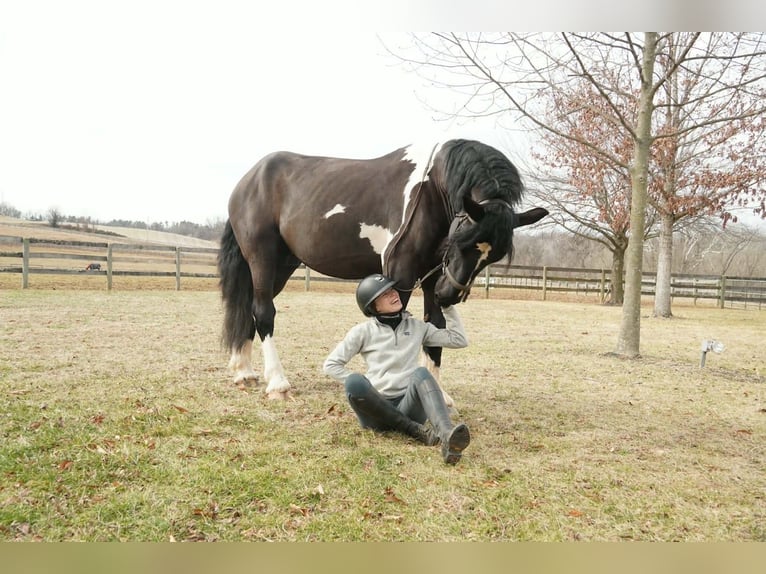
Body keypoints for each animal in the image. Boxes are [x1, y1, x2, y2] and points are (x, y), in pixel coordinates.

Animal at [218, 139, 548, 399]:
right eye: (463, 241)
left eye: (494, 257)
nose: (449, 294)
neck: (430, 191)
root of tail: (249, 180)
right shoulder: (401, 274)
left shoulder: (430, 278)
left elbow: (436, 328)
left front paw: (440, 394)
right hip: (262, 258)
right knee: (264, 311)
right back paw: (277, 383)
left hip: (283, 265)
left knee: (250, 307)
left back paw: (244, 372)